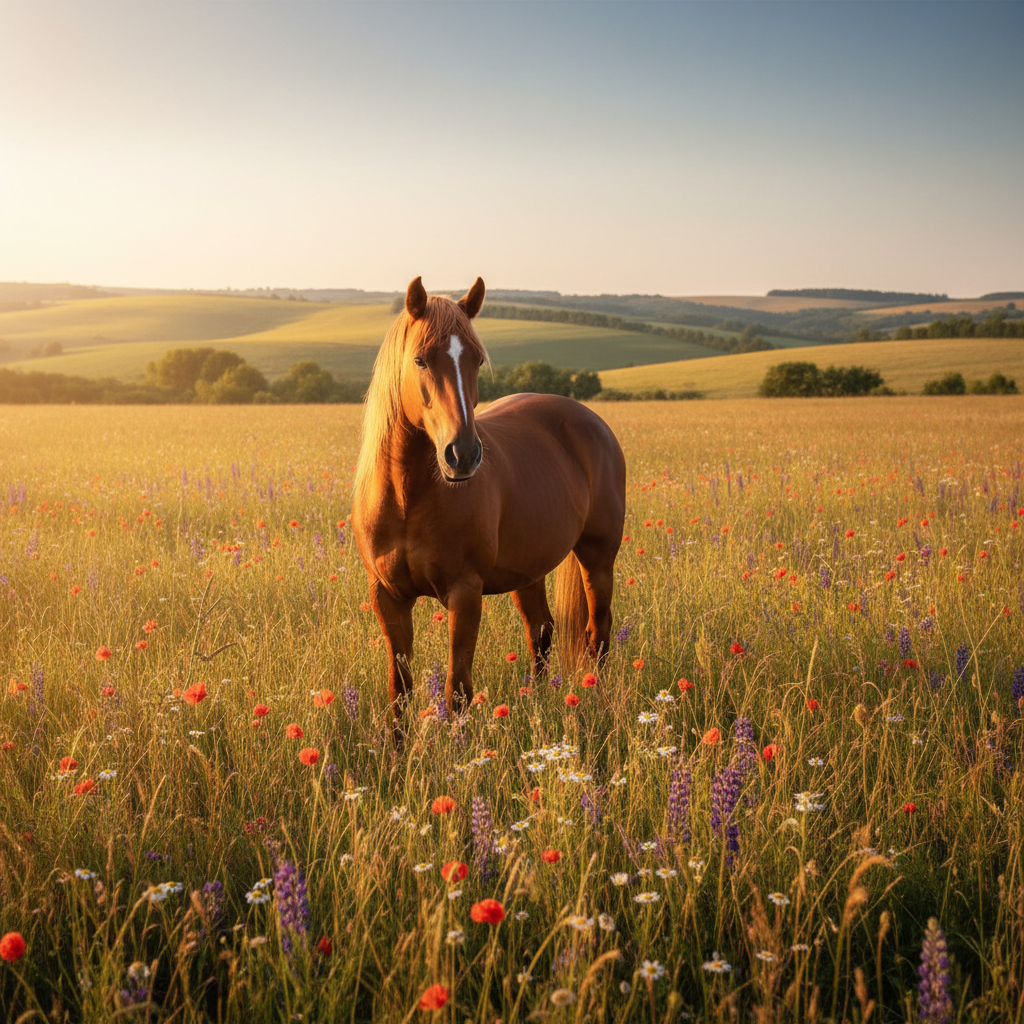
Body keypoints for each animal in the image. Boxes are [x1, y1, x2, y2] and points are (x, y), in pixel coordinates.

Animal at [352, 276, 626, 727]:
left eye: (478, 361)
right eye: (420, 360)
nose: (462, 454)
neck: (407, 498)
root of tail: (590, 420)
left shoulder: (465, 594)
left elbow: (458, 690)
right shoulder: (387, 598)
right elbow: (399, 692)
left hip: (598, 557)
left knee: (597, 634)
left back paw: (600, 702)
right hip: (530, 568)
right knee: (541, 632)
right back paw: (537, 700)